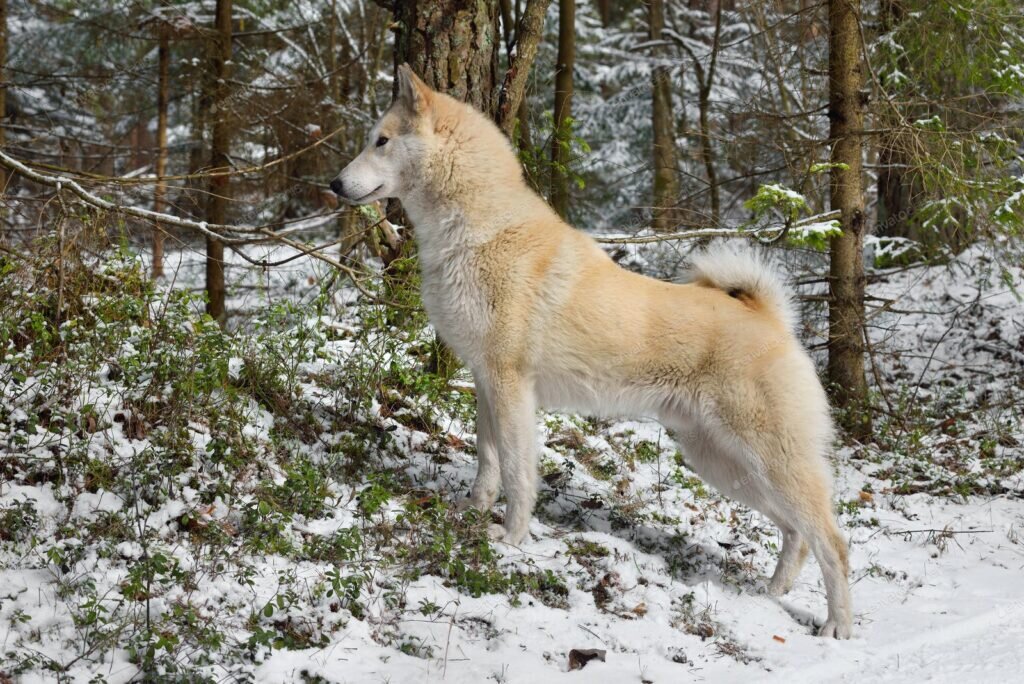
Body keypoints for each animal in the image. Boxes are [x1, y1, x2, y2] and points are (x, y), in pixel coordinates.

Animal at [331, 66, 851, 638]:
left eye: (381, 141)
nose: (333, 184)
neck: (479, 231)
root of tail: (770, 318)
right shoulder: (487, 384)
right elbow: (488, 460)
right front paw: (474, 509)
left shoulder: (511, 388)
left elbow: (518, 472)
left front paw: (511, 538)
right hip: (728, 465)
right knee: (795, 534)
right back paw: (772, 594)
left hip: (768, 460)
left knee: (832, 542)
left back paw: (837, 629)